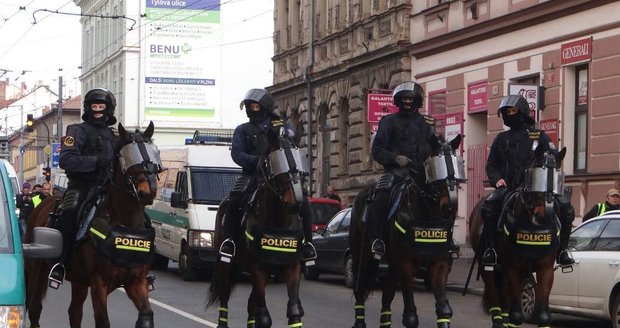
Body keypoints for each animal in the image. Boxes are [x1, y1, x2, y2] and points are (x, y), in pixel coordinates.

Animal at [24, 121, 162, 328]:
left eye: (154, 152)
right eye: (126, 156)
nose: (148, 192)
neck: (125, 223)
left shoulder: (136, 282)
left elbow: (146, 315)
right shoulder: (99, 284)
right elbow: (102, 321)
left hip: (79, 280)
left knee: (74, 312)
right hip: (37, 270)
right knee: (34, 308)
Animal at [207, 132, 310, 326]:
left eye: (300, 167)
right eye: (277, 164)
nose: (296, 204)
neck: (278, 221)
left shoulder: (291, 268)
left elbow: (294, 310)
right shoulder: (258, 268)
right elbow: (264, 317)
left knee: (251, 305)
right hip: (226, 265)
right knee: (225, 296)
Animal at [348, 134, 464, 328]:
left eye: (457, 167)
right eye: (435, 166)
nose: (451, 207)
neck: (427, 216)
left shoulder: (439, 264)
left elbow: (444, 309)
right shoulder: (406, 265)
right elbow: (410, 316)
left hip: (392, 266)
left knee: (386, 297)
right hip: (361, 256)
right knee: (360, 288)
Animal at [470, 145, 568, 328]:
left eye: (558, 176)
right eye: (536, 174)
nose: (545, 216)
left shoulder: (545, 270)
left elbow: (543, 314)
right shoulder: (513, 268)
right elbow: (516, 315)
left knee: (504, 300)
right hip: (488, 267)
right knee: (496, 299)